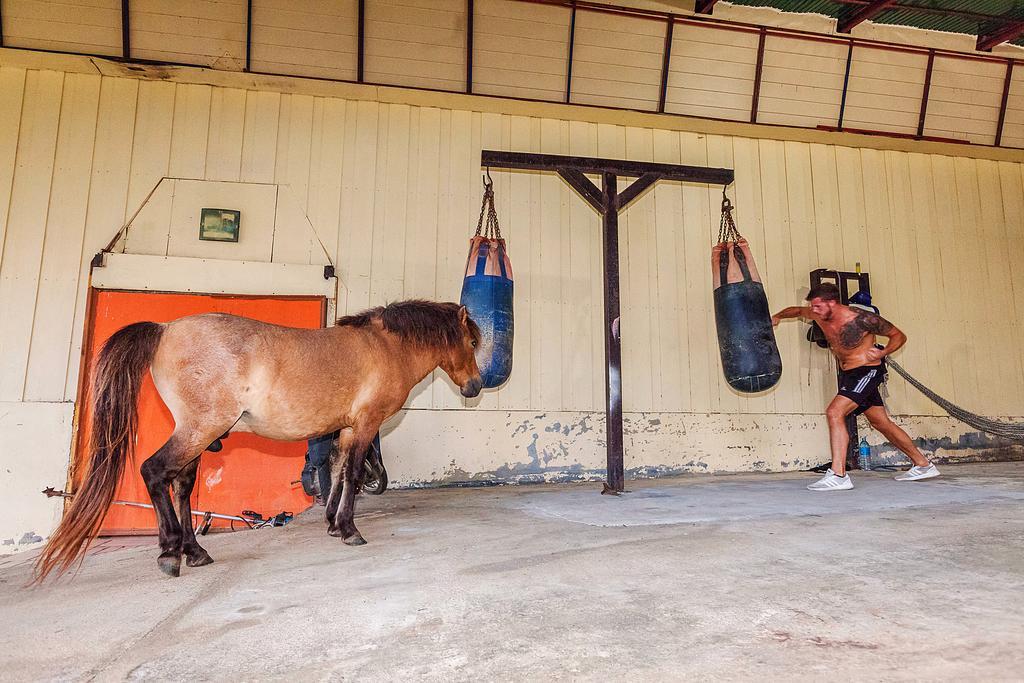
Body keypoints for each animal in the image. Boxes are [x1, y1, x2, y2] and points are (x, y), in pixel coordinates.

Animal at [32, 301, 479, 581]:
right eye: (472, 341)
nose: (475, 386)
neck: (385, 346)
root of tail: (164, 330)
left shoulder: (348, 429)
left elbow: (336, 471)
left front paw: (333, 523)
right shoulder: (365, 425)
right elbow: (352, 474)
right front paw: (349, 529)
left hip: (198, 434)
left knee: (181, 485)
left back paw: (195, 552)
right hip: (199, 430)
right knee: (155, 472)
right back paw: (170, 552)